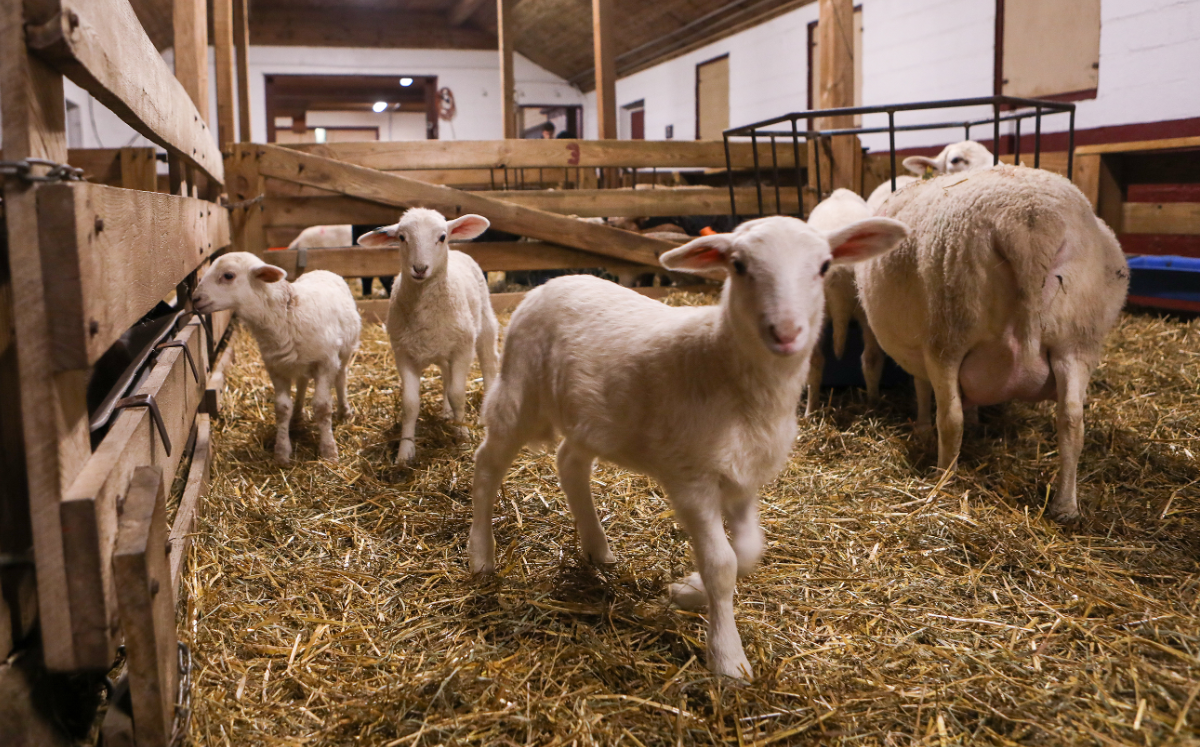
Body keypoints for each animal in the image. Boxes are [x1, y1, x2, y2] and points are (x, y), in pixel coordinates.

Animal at [189, 254, 360, 465]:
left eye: (228, 275)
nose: (195, 299)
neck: (286, 314)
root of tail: (322, 270)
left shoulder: (326, 362)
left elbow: (322, 407)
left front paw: (328, 451)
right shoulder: (275, 367)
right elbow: (282, 408)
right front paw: (282, 452)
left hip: (344, 352)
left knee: (341, 378)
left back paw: (344, 411)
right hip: (299, 362)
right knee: (302, 382)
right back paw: (297, 415)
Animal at [360, 207, 501, 465]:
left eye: (442, 237)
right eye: (402, 237)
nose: (419, 268)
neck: (424, 309)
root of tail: (459, 252)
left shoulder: (463, 349)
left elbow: (457, 394)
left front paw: (462, 436)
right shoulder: (403, 353)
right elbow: (410, 404)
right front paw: (404, 453)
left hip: (485, 324)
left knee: (489, 364)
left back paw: (483, 414)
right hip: (443, 348)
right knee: (446, 376)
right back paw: (446, 414)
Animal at [468, 213, 907, 682]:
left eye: (824, 266)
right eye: (738, 266)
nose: (786, 332)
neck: (723, 366)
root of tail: (553, 282)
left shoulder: (743, 477)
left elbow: (748, 551)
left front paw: (685, 591)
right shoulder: (691, 479)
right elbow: (722, 564)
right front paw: (728, 658)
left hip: (594, 418)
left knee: (569, 462)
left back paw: (598, 550)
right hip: (518, 392)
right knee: (487, 464)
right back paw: (481, 555)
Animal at [801, 187, 888, 415]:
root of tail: (836, 275)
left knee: (815, 362)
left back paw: (811, 410)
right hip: (867, 313)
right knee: (871, 358)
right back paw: (873, 404)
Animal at [859, 165, 1128, 523]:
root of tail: (1028, 225)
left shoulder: (924, 349)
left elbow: (923, 389)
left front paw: (923, 428)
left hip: (948, 330)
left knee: (950, 420)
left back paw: (941, 485)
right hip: (1078, 340)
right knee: (1071, 420)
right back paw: (1065, 506)